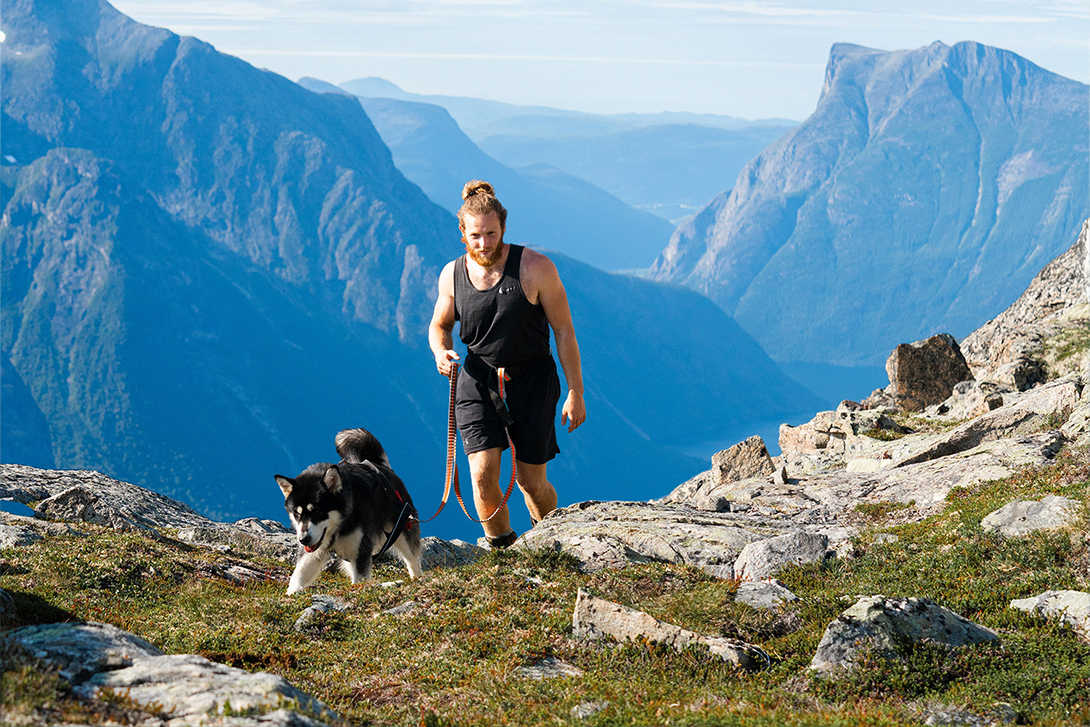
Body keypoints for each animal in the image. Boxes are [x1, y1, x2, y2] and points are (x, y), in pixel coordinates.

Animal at [274, 429, 422, 592]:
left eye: (317, 511)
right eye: (297, 513)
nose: (303, 539)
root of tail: (381, 466)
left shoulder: (360, 551)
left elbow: (360, 580)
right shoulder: (313, 553)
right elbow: (298, 575)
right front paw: (291, 594)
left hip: (402, 529)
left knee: (412, 559)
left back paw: (417, 579)